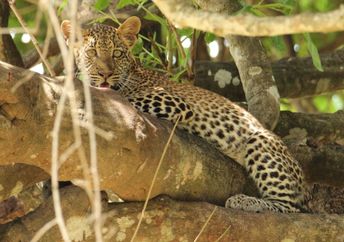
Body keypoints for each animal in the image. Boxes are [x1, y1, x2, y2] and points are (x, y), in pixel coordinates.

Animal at [61, 16, 306, 212]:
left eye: (117, 53)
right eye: (92, 53)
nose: (105, 73)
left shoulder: (172, 102)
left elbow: (125, 98)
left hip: (261, 141)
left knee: (290, 207)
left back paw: (244, 201)